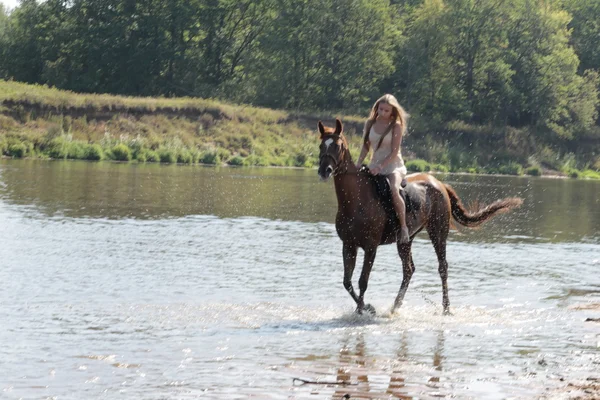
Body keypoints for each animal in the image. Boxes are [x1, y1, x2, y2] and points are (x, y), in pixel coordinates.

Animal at [316, 119, 524, 316]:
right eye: (320, 146)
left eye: (337, 146)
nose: (324, 170)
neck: (356, 199)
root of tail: (439, 183)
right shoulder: (348, 245)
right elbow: (347, 281)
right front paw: (365, 308)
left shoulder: (370, 247)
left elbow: (362, 281)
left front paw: (364, 310)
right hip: (405, 240)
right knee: (409, 269)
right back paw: (395, 306)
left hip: (438, 232)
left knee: (442, 267)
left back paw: (446, 309)